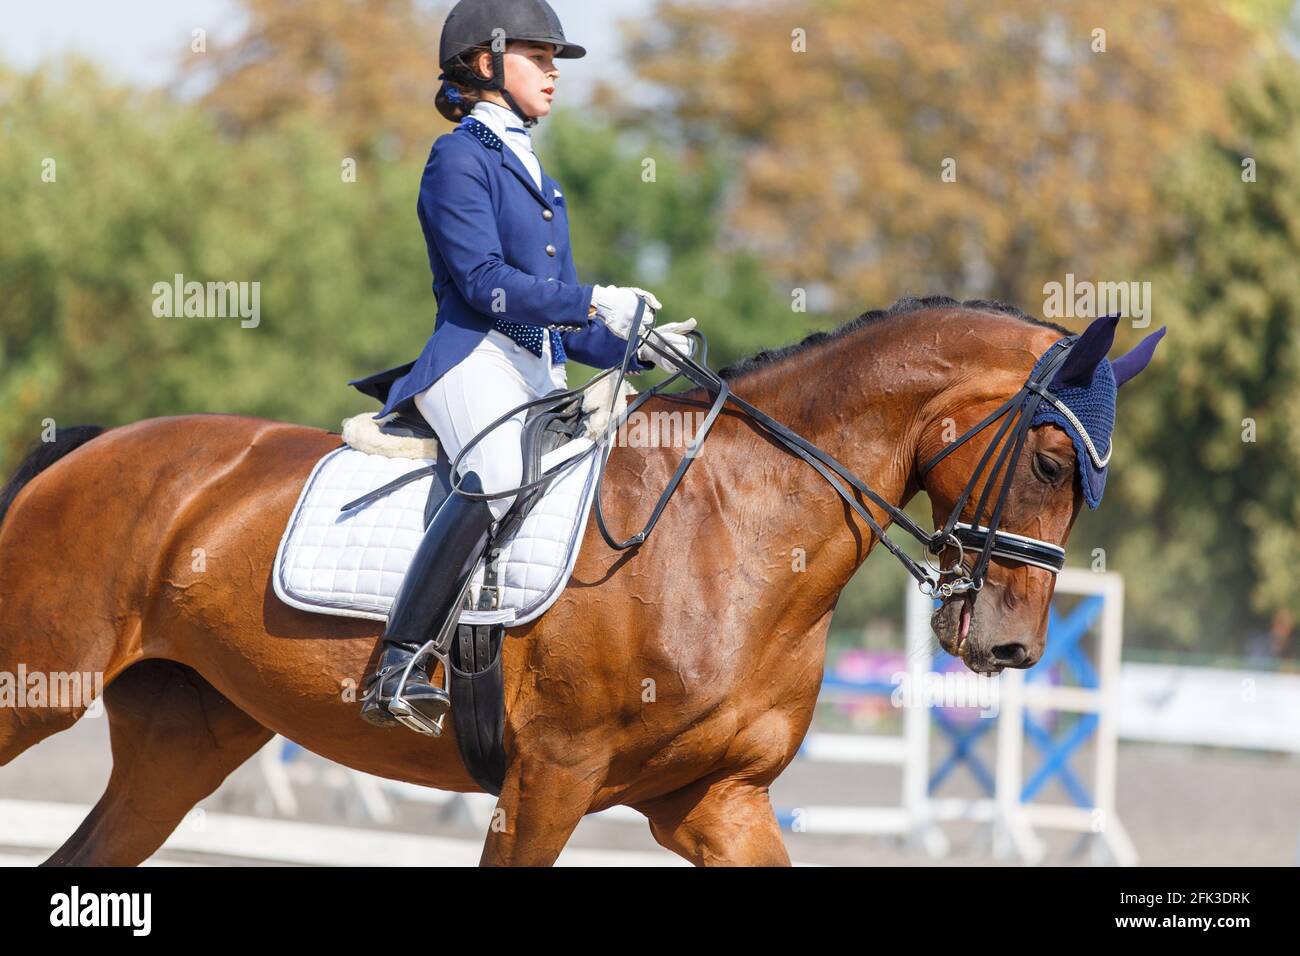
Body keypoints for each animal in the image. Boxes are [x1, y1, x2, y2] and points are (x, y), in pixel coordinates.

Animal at [0, 297, 1158, 866]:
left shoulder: (714, 799)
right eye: (1049, 463)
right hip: (35, 686)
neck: (735, 528)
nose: (1009, 645)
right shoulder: (547, 779)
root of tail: (86, 449)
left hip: (185, 736)